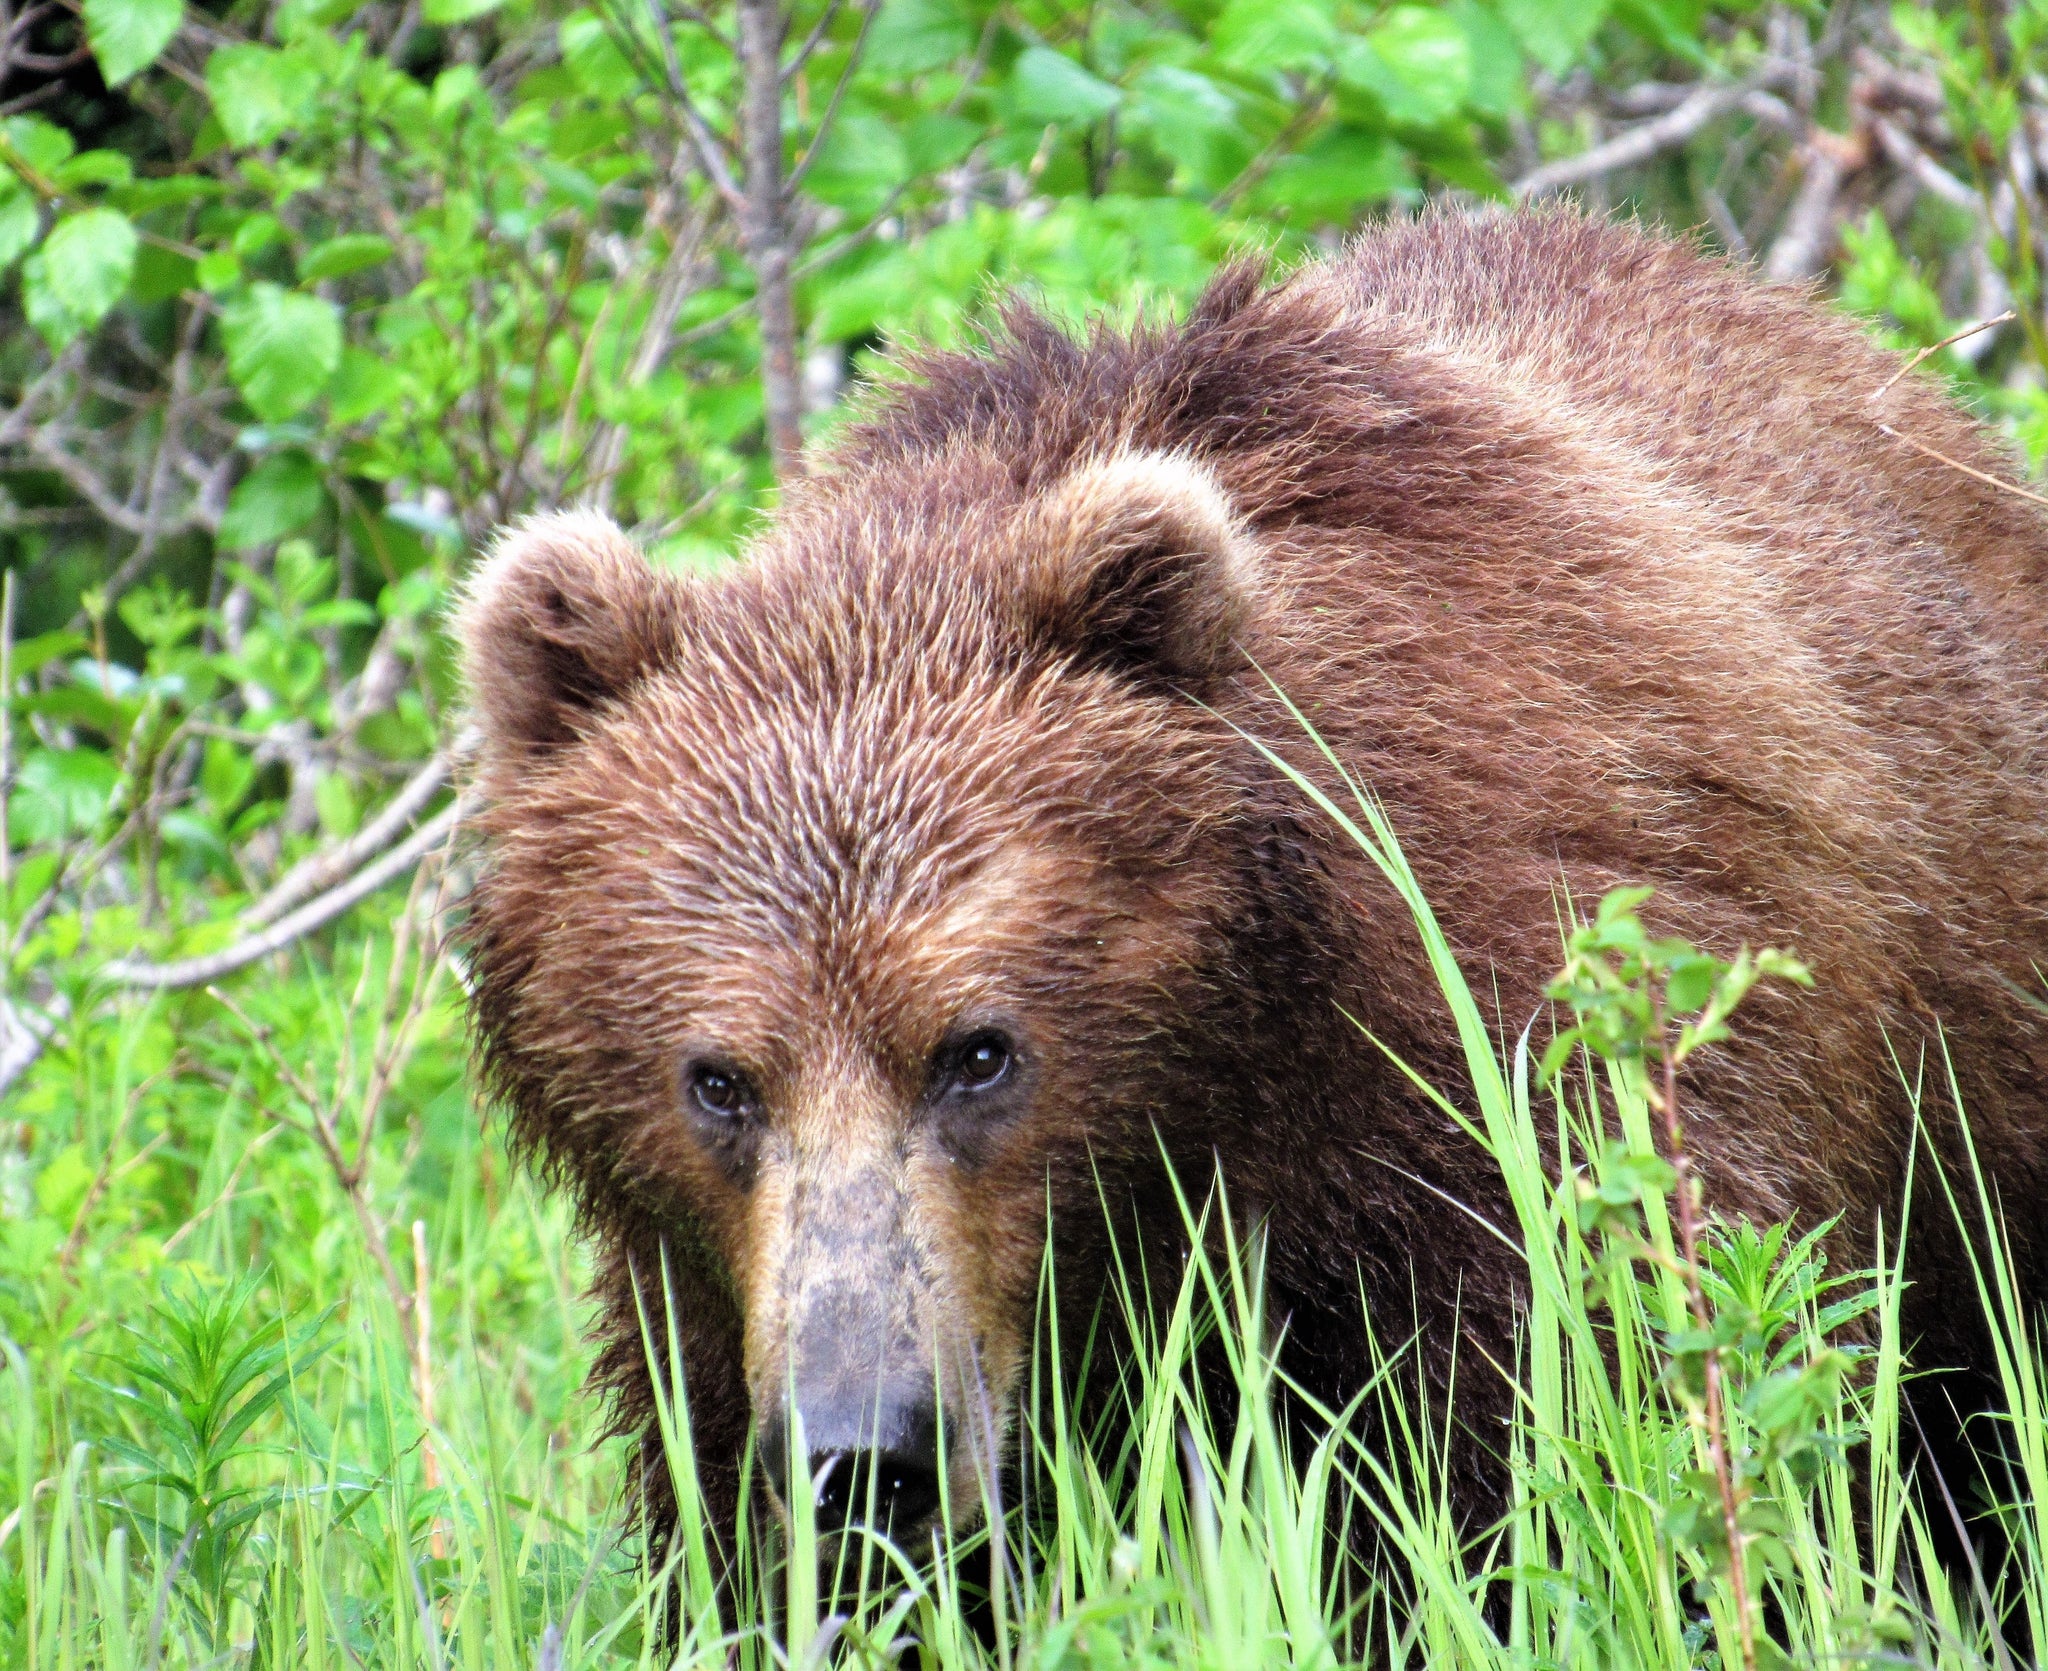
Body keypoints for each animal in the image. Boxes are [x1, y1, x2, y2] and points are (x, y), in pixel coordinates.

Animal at [456, 208, 2048, 1556]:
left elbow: (1562, 1427)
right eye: (718, 1078)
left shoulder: (1520, 1069)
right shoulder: (703, 1294)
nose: (867, 1451)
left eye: (978, 1049)